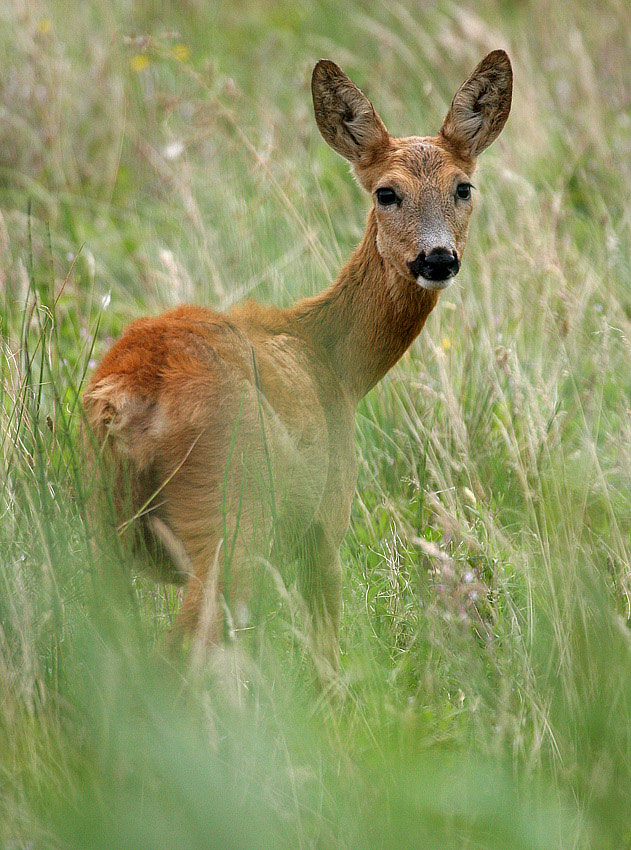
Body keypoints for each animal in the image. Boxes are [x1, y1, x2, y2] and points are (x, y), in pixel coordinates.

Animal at [84, 49, 516, 668]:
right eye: (386, 192)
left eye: (463, 187)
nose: (437, 258)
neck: (335, 362)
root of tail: (129, 398)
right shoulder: (325, 521)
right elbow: (327, 656)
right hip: (231, 513)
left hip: (103, 526)